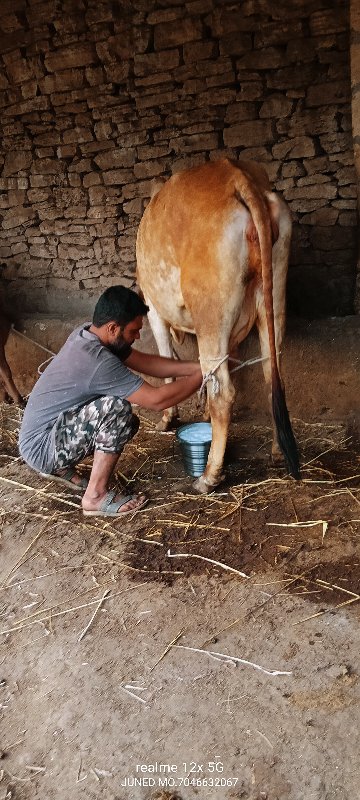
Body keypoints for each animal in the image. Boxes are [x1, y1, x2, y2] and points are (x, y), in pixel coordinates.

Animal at [136, 159, 300, 490]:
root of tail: (238, 176)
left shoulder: (154, 309)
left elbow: (166, 360)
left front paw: (168, 417)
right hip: (273, 299)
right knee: (271, 378)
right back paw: (277, 452)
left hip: (210, 313)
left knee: (223, 393)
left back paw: (209, 475)